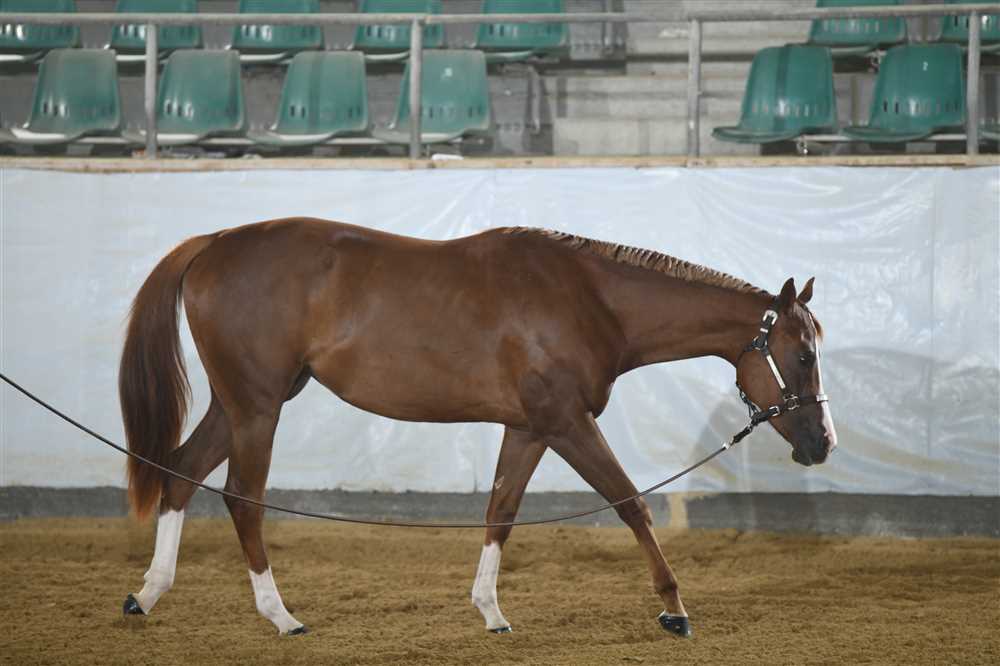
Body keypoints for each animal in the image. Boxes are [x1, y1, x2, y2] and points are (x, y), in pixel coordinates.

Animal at [118, 219, 836, 637]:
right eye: (803, 355)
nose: (822, 442)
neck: (590, 299)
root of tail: (211, 245)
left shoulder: (528, 429)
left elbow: (501, 511)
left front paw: (490, 610)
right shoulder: (566, 422)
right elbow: (631, 503)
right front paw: (674, 609)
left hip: (239, 403)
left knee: (181, 473)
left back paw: (148, 594)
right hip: (258, 406)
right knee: (241, 496)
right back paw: (280, 615)